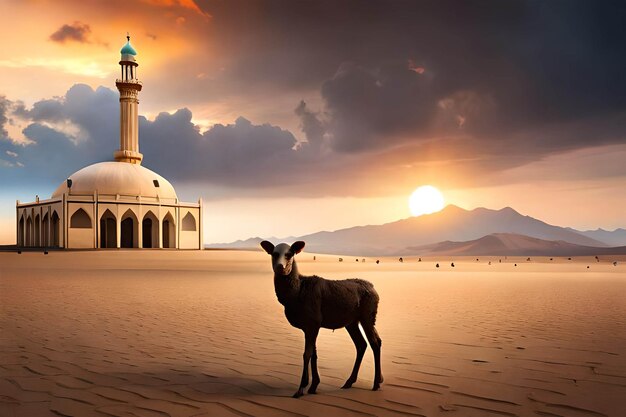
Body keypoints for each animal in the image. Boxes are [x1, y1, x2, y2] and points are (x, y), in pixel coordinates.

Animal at [258, 240, 380, 396]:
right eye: (274, 253)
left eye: (289, 254)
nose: (281, 267)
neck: (297, 291)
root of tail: (373, 288)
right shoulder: (309, 327)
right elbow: (314, 354)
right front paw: (313, 386)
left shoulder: (313, 323)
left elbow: (307, 354)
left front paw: (301, 388)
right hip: (352, 322)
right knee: (362, 344)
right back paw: (349, 382)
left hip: (367, 316)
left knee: (375, 343)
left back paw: (376, 383)